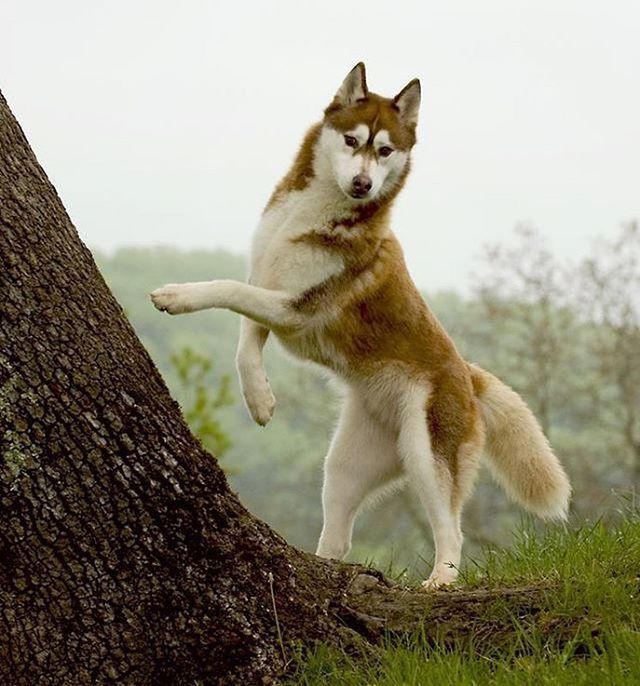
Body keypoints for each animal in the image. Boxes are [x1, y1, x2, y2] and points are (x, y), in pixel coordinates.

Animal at [152, 64, 572, 588]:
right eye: (352, 141)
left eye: (385, 150)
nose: (362, 184)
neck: (308, 215)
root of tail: (467, 374)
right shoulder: (268, 285)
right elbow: (245, 341)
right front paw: (260, 399)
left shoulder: (294, 306)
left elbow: (227, 290)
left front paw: (178, 295)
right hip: (346, 465)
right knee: (339, 532)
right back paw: (325, 566)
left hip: (426, 454)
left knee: (452, 530)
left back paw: (440, 580)